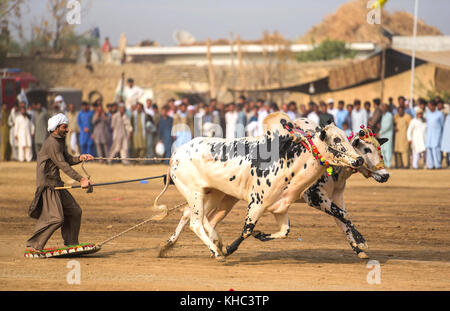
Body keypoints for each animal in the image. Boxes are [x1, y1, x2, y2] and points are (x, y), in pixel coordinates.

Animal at [153, 113, 364, 262]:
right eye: (336, 140)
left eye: (345, 137)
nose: (359, 159)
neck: (287, 159)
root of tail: (175, 155)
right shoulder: (257, 203)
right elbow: (247, 229)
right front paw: (229, 248)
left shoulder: (281, 207)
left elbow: (284, 231)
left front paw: (259, 235)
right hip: (195, 194)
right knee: (196, 223)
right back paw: (217, 252)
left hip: (213, 195)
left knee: (202, 219)